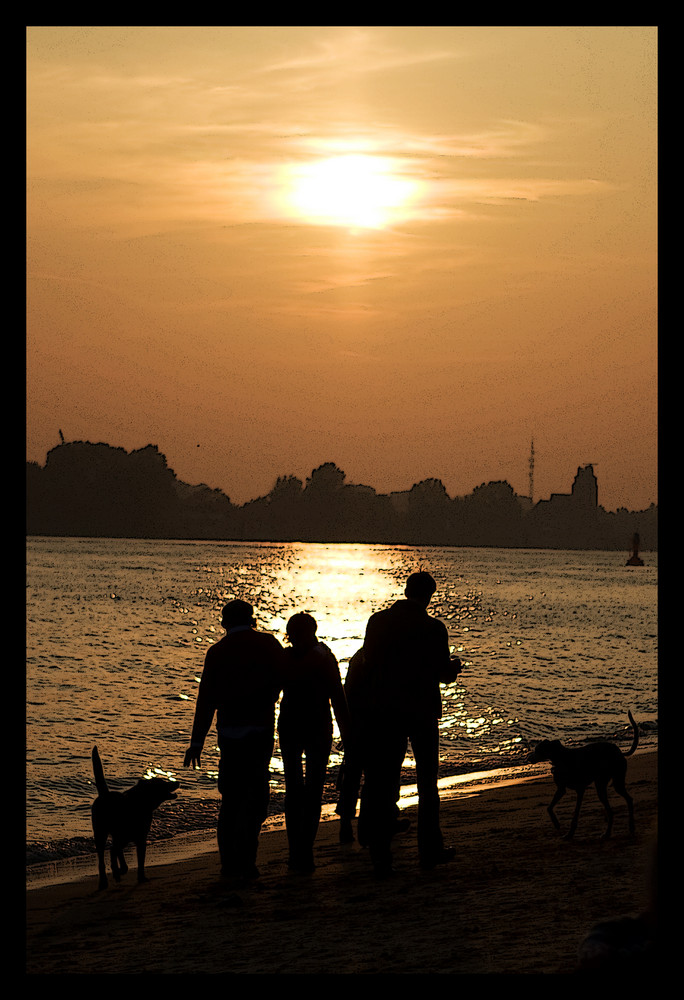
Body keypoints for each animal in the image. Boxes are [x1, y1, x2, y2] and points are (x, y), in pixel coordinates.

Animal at [91, 744, 179, 892]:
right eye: (163, 783)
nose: (177, 782)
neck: (140, 802)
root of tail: (104, 795)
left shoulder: (140, 838)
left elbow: (140, 861)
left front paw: (141, 877)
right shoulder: (133, 837)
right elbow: (120, 854)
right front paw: (119, 871)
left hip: (121, 837)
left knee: (115, 850)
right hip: (102, 834)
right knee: (106, 855)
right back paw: (106, 880)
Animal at [528, 708, 640, 840]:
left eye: (537, 750)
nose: (528, 758)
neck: (562, 758)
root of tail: (620, 752)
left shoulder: (579, 789)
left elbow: (572, 813)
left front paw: (561, 827)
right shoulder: (563, 789)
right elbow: (550, 807)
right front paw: (564, 829)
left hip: (606, 783)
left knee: (615, 807)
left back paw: (613, 831)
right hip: (611, 782)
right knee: (625, 802)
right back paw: (622, 829)